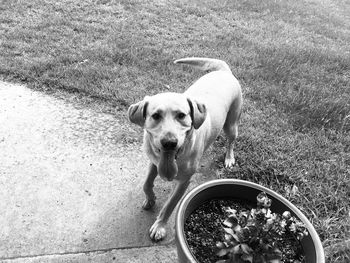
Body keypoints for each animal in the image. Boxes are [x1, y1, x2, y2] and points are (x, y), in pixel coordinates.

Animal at [127, 57, 242, 241]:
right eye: (155, 116)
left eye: (181, 115)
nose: (169, 142)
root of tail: (223, 71)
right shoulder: (154, 161)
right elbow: (146, 183)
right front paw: (150, 199)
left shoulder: (184, 182)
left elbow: (170, 204)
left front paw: (160, 226)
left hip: (231, 124)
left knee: (231, 141)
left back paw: (229, 158)